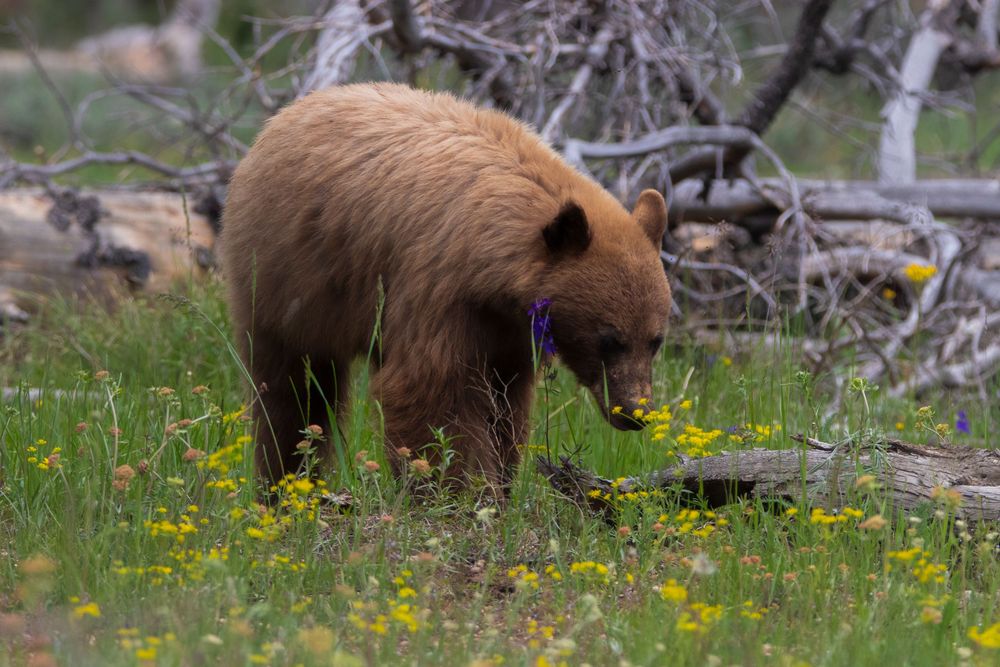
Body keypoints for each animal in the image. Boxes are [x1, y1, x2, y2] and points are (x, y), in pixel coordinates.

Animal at [219, 83, 672, 494]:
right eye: (609, 338)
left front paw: (501, 481)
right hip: (284, 281)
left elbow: (506, 403)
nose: (636, 412)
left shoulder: (509, 330)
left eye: (655, 340)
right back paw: (284, 483)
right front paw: (462, 491)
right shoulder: (437, 288)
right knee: (290, 389)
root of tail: (286, 115)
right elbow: (432, 390)